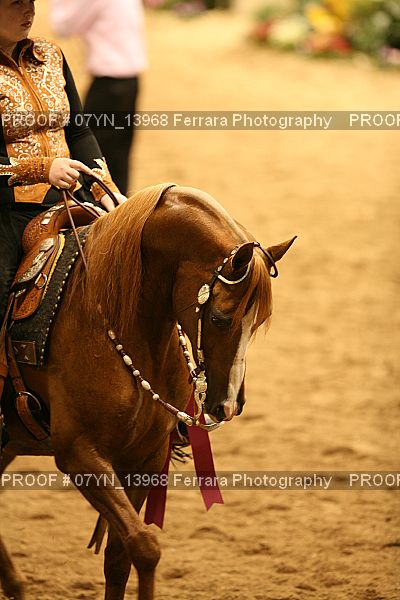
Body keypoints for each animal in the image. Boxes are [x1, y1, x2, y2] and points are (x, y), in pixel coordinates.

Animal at [0, 183, 295, 600]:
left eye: (259, 320)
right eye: (220, 317)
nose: (229, 405)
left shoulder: (147, 456)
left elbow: (120, 556)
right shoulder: (78, 454)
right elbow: (144, 545)